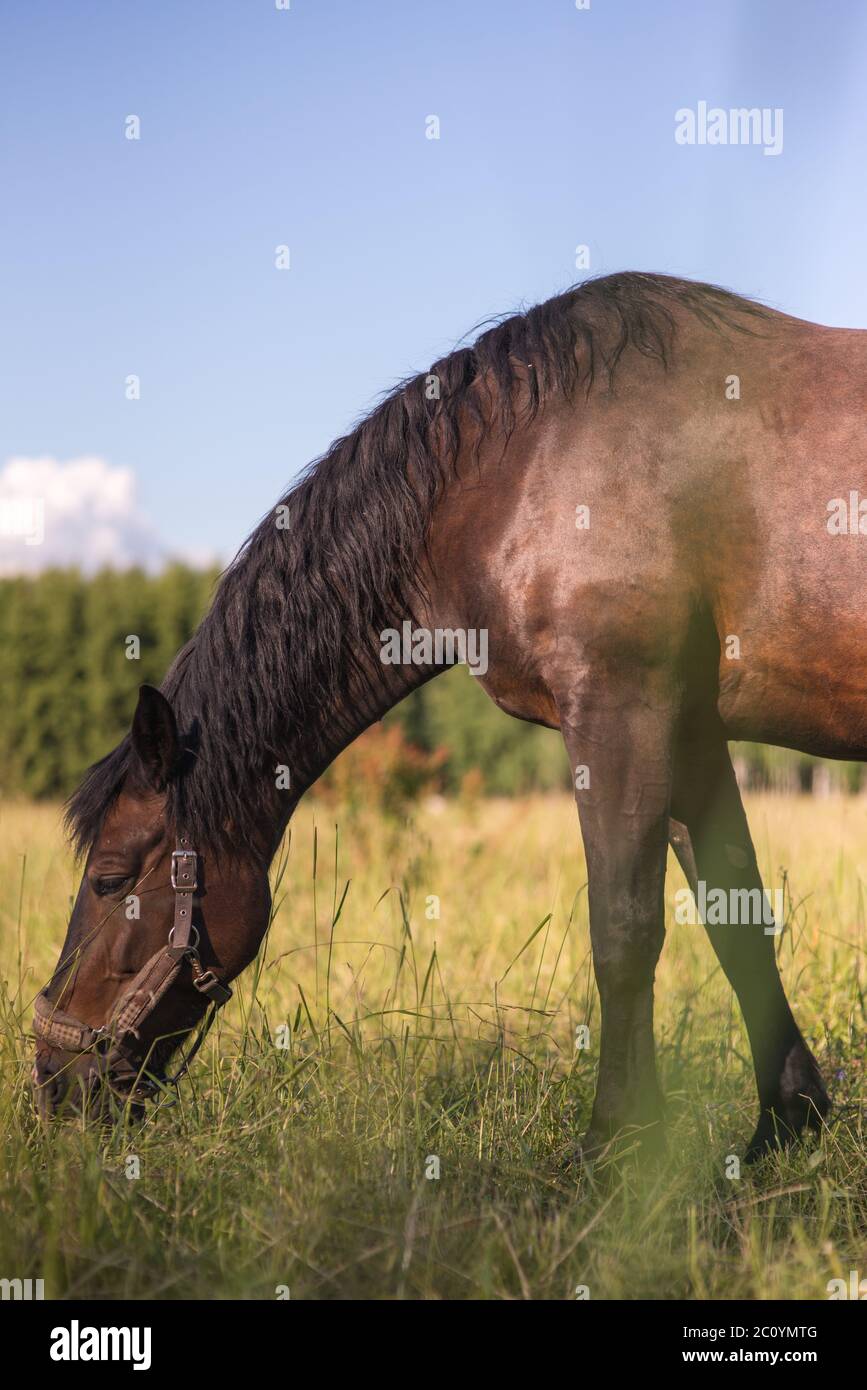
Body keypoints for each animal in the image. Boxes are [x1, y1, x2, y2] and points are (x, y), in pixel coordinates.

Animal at [34, 270, 862, 1161]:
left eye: (109, 878)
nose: (52, 1081)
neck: (517, 467)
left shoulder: (619, 709)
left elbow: (623, 932)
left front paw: (610, 1143)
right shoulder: (690, 731)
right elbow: (735, 918)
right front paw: (784, 1124)